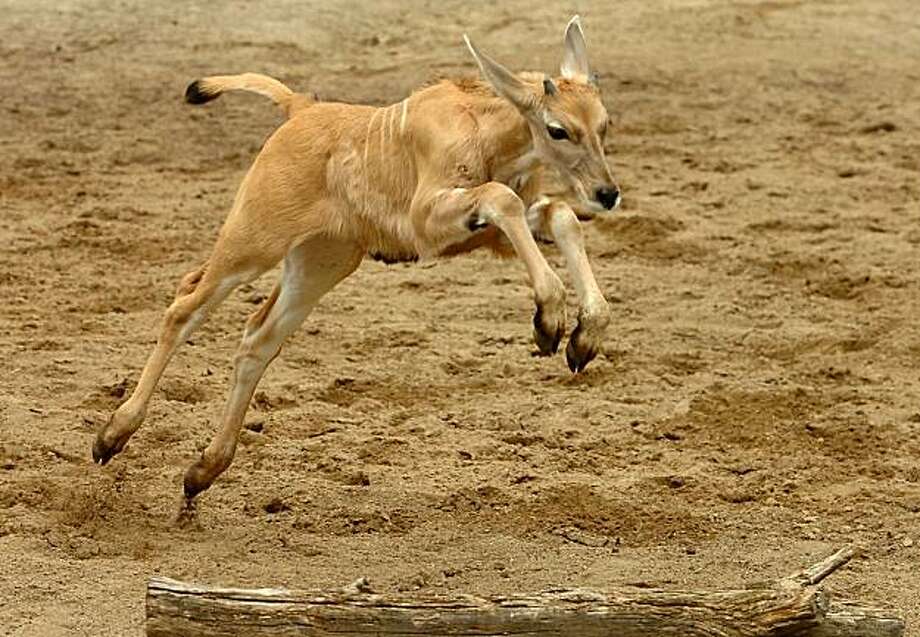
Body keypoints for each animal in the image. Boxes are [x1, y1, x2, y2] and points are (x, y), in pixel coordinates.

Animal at [93, 17, 620, 500]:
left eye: (603, 124)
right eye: (558, 129)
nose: (607, 192)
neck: (485, 128)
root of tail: (300, 109)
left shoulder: (482, 233)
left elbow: (559, 216)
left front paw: (583, 336)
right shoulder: (429, 224)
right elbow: (504, 198)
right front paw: (549, 318)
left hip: (320, 265)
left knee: (257, 339)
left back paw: (203, 470)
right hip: (253, 244)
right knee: (185, 306)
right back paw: (112, 435)